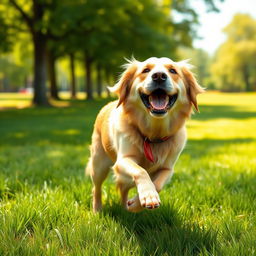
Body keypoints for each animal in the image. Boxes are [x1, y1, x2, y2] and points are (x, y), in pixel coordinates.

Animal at [86, 57, 204, 212]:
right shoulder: (123, 160)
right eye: (146, 70)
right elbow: (141, 171)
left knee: (123, 188)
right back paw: (97, 210)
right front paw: (148, 196)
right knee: (97, 188)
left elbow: (158, 185)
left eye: (173, 70)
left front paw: (136, 204)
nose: (159, 76)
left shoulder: (168, 168)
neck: (154, 134)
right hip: (98, 164)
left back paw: (126, 207)